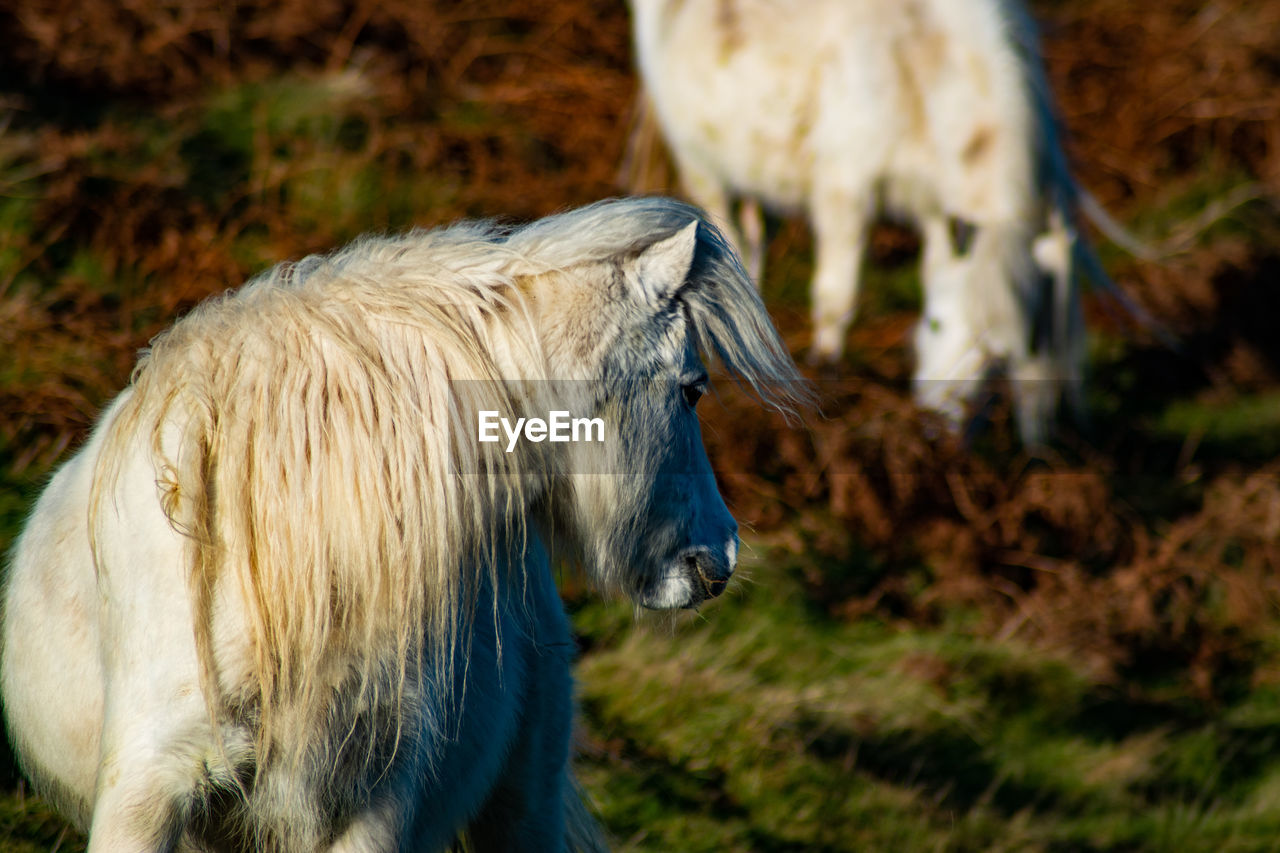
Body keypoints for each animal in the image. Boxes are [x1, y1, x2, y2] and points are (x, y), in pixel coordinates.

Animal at [629, 0, 1090, 440]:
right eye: (935, 323)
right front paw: (826, 373)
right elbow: (838, 295)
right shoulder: (845, 189)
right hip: (701, 167)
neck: (922, 60)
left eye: (997, 354)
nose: (938, 428)